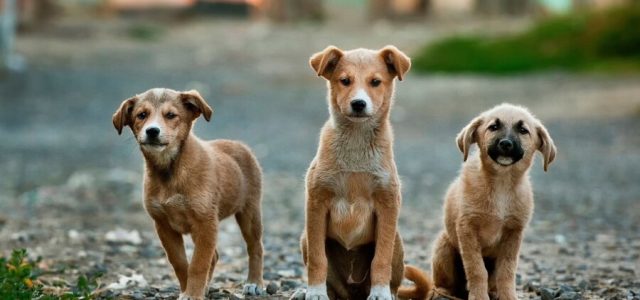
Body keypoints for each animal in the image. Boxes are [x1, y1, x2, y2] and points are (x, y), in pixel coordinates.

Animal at [111, 88, 264, 300]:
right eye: (141, 115)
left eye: (171, 115)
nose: (152, 131)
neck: (170, 171)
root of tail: (239, 145)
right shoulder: (164, 225)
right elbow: (181, 263)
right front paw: (188, 290)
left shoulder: (206, 222)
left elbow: (198, 264)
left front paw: (192, 293)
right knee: (214, 256)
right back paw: (207, 287)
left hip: (249, 212)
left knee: (255, 247)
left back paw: (254, 283)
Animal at [298, 45, 430, 300]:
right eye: (345, 81)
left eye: (375, 82)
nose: (358, 103)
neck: (356, 144)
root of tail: (353, 292)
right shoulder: (317, 202)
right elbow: (318, 259)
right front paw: (315, 292)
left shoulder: (388, 204)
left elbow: (381, 259)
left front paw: (380, 293)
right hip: (305, 238)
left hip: (397, 242)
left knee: (393, 279)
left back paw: (387, 293)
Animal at [402, 103, 556, 300]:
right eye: (493, 127)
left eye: (523, 130)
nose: (505, 144)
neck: (501, 184)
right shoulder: (467, 229)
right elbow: (477, 269)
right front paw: (479, 296)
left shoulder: (514, 233)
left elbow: (507, 271)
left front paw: (508, 296)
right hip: (444, 246)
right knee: (442, 284)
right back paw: (444, 293)